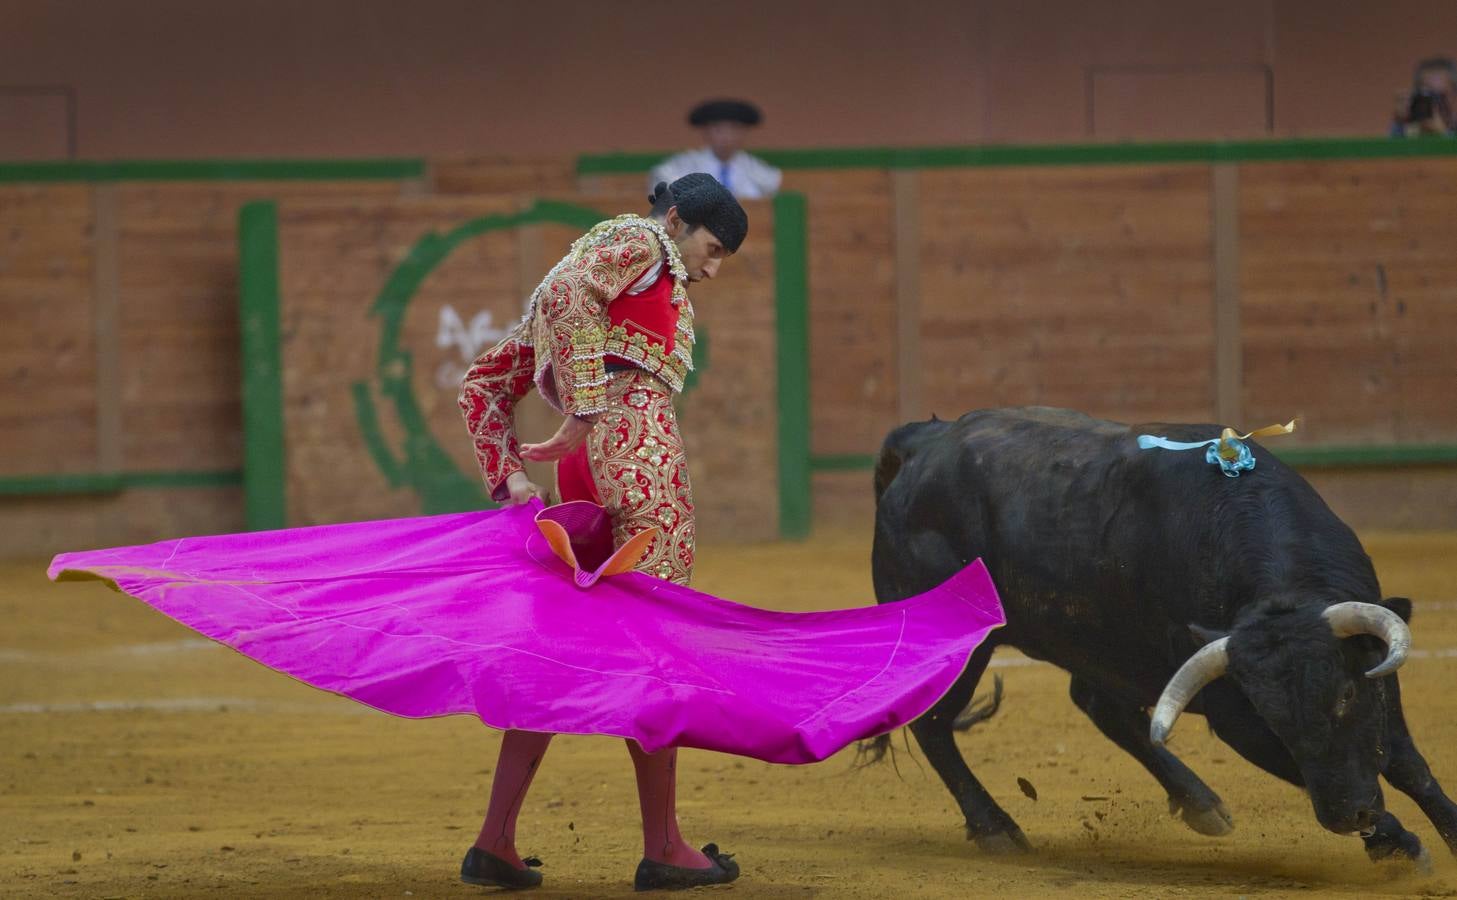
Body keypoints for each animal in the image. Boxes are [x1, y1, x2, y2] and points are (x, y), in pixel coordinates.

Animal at [868, 404, 1451, 862]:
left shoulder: (1377, 676)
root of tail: (923, 444)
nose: (1348, 814)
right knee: (934, 724)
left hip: (1099, 644)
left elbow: (1408, 763)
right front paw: (1399, 845)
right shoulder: (1236, 717)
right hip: (962, 646)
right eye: (1268, 713)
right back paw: (996, 830)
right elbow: (1311, 762)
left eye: (1346, 694)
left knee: (1101, 707)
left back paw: (1200, 803)